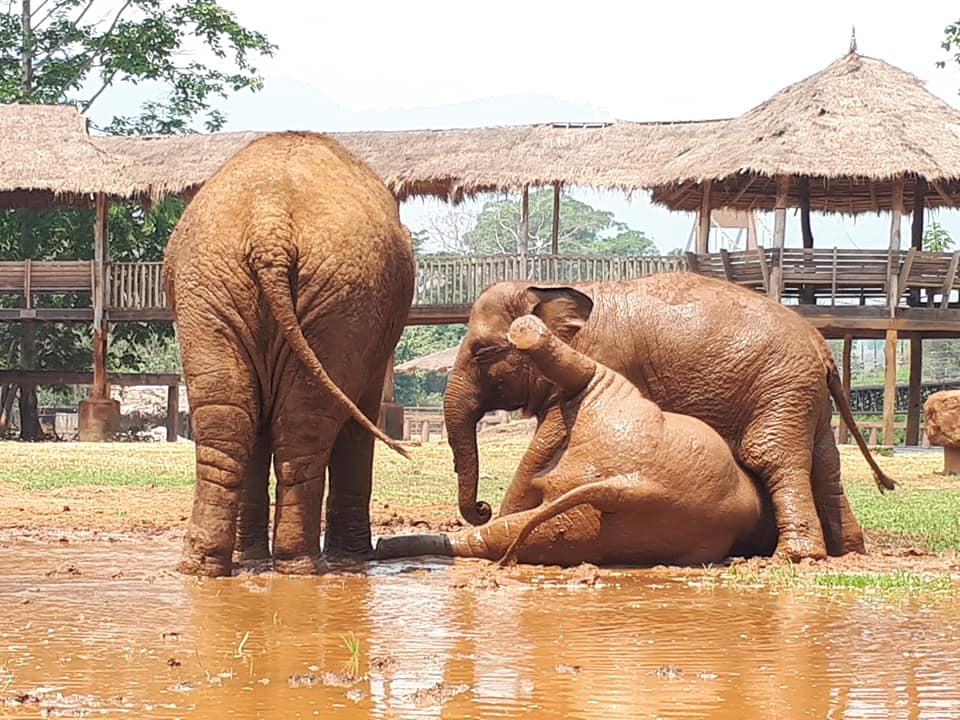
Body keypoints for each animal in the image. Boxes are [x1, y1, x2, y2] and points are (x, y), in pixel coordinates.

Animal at [164, 132, 416, 576]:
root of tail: (270, 224)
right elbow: (358, 416)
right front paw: (352, 558)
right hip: (334, 296)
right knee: (298, 422)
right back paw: (302, 566)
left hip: (214, 285)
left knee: (231, 417)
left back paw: (205, 567)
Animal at [446, 272, 896, 560]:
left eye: (483, 351)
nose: (482, 507)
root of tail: (822, 347)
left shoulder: (602, 360)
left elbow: (543, 446)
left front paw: (504, 519)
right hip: (806, 395)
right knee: (825, 463)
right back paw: (848, 551)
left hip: (782, 386)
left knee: (772, 456)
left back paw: (796, 557)